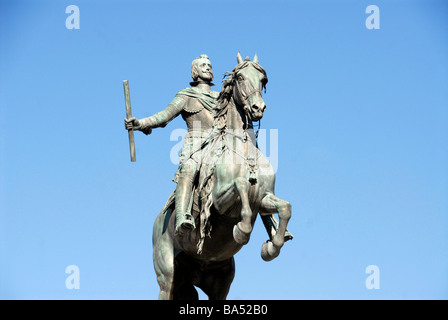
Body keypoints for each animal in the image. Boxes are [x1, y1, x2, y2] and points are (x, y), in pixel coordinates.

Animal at [152, 52, 292, 300]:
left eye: (263, 79)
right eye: (240, 77)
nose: (258, 107)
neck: (244, 153)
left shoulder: (265, 198)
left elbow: (285, 207)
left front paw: (271, 247)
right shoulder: (217, 201)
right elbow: (241, 188)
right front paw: (241, 231)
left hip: (219, 282)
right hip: (167, 277)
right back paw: (185, 223)